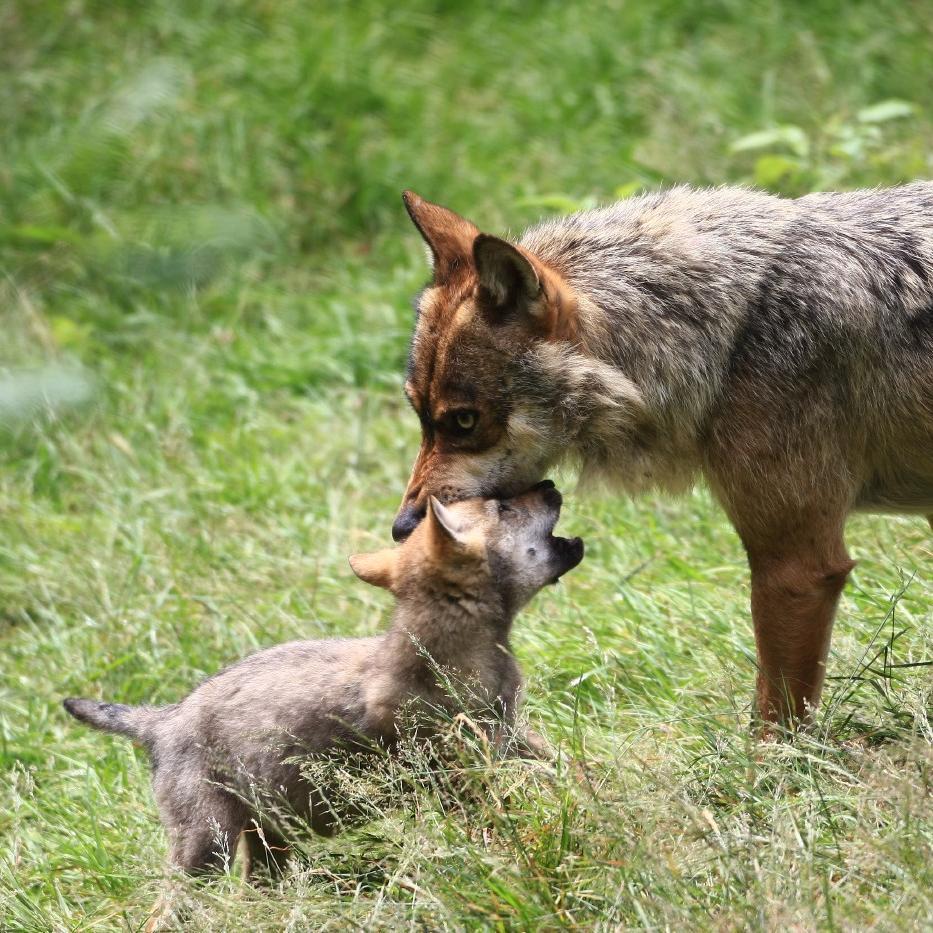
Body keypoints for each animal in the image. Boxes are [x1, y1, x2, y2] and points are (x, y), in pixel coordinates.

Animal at [392, 180, 932, 720]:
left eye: (464, 421)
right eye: (420, 415)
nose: (403, 527)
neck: (726, 334)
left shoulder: (798, 567)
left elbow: (773, 718)